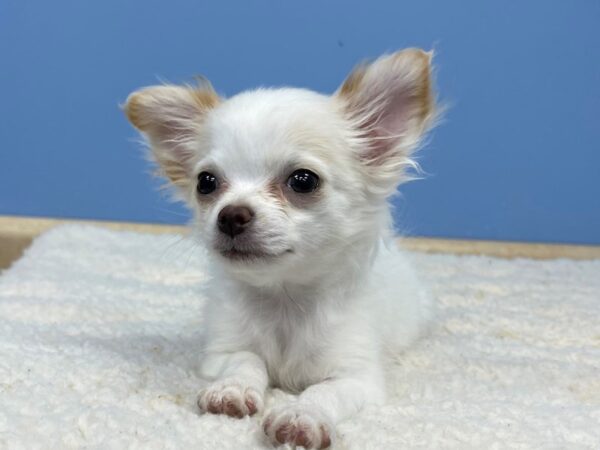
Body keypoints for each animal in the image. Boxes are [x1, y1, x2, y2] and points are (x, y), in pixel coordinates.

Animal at [125, 47, 436, 448]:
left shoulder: (357, 377)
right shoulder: (223, 351)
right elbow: (247, 361)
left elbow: (324, 391)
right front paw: (232, 390)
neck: (284, 299)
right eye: (205, 183)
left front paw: (303, 415)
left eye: (303, 181)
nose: (230, 215)